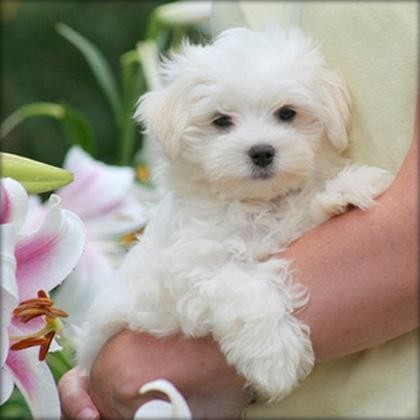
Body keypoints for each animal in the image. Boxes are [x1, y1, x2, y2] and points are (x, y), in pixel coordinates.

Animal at [77, 26, 392, 400]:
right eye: (221, 121)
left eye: (287, 113)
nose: (262, 152)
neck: (254, 204)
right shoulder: (192, 269)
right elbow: (243, 286)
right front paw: (275, 360)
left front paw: (347, 189)